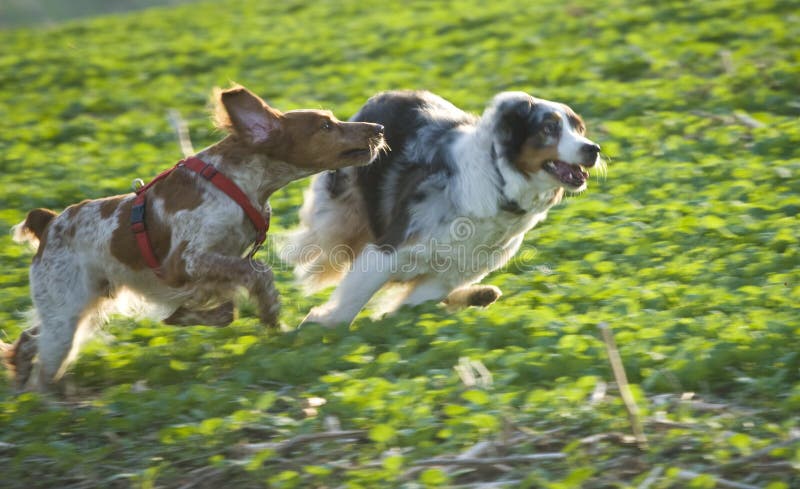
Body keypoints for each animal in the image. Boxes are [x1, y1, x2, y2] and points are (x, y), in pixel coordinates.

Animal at [7, 84, 388, 388]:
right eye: (326, 125)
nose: (379, 127)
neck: (236, 181)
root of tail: (50, 223)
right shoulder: (183, 262)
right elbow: (256, 272)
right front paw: (269, 312)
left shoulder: (212, 265)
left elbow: (224, 300)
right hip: (65, 319)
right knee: (44, 373)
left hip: (78, 308)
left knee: (27, 341)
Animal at [284, 90, 604, 328]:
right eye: (549, 128)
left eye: (579, 128)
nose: (593, 148)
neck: (500, 182)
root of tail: (382, 96)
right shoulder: (390, 246)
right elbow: (356, 293)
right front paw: (321, 325)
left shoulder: (457, 269)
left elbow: (417, 299)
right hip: (344, 213)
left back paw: (481, 295)